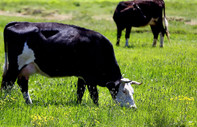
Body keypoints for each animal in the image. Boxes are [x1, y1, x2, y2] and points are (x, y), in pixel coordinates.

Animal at [0, 21, 142, 108]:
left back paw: (29, 103)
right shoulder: (90, 78)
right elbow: (94, 95)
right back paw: (5, 103)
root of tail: (18, 23)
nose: (133, 107)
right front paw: (96, 108)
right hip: (15, 66)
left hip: (25, 69)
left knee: (22, 84)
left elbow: (80, 92)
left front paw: (78, 105)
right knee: (7, 83)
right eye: (124, 91)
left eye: (132, 92)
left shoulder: (82, 76)